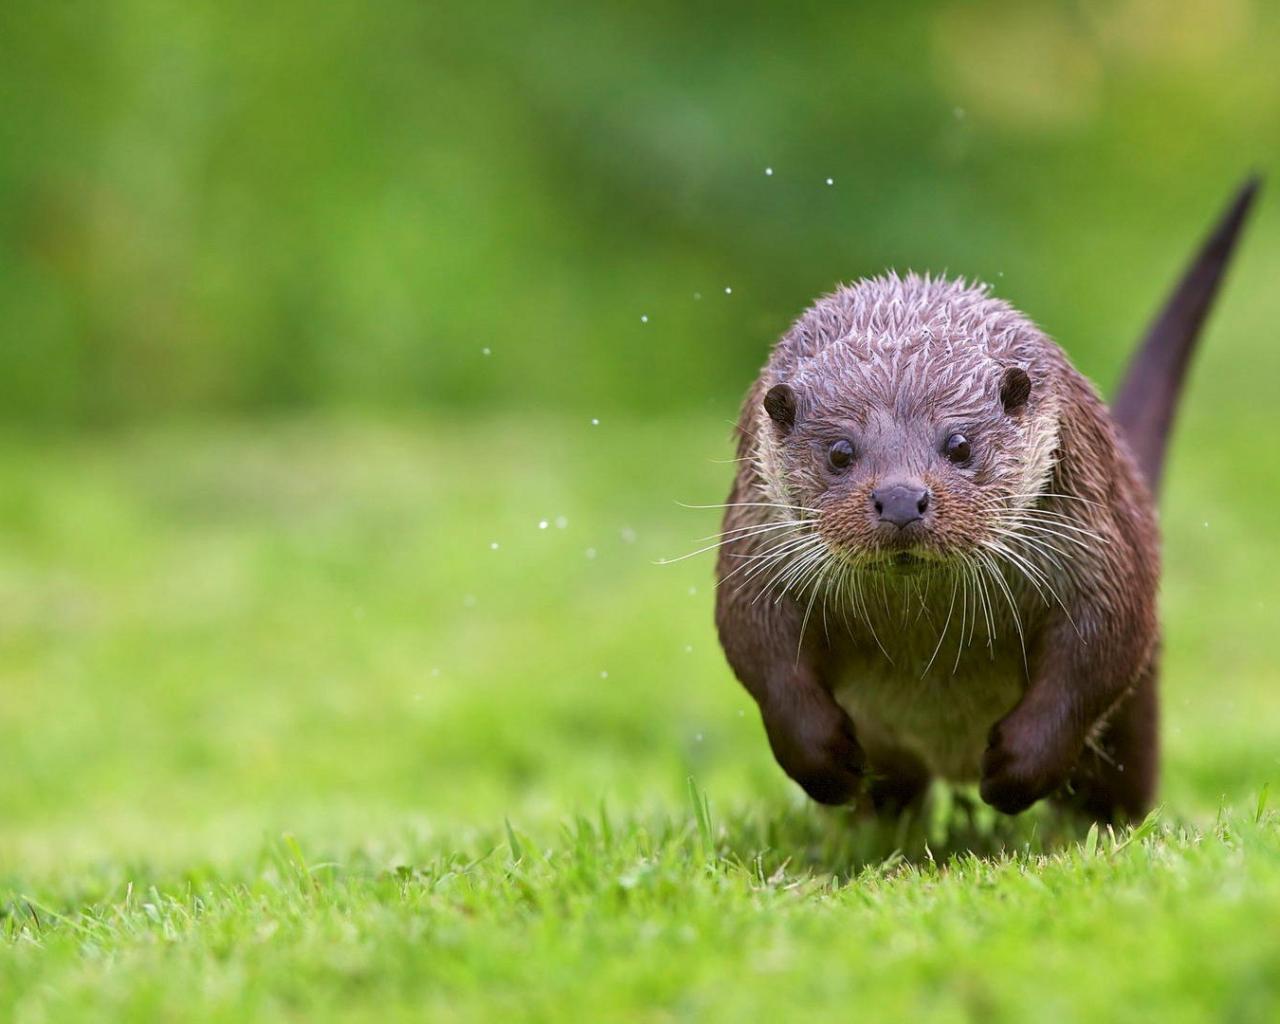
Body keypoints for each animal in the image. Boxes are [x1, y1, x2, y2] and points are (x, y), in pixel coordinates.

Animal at [714, 180, 1258, 821]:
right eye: (841, 452)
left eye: (959, 443)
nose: (901, 498)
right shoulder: (756, 546)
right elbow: (757, 647)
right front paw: (824, 761)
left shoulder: (1100, 551)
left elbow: (1099, 650)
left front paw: (1016, 769)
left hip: (1140, 708)